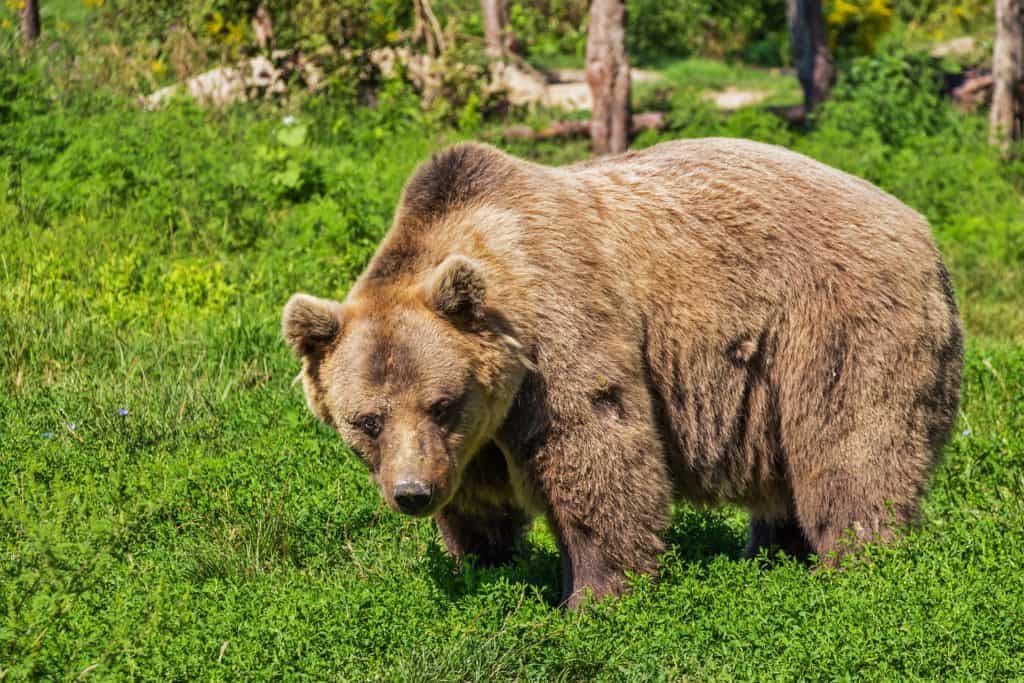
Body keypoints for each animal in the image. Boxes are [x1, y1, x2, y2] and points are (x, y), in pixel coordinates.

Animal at [280, 139, 958, 610]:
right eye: (366, 420)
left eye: (441, 403)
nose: (413, 493)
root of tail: (922, 227)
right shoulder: (475, 439)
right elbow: (478, 502)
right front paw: (484, 565)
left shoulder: (560, 336)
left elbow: (597, 455)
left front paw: (593, 596)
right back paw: (770, 554)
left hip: (836, 323)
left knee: (851, 448)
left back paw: (857, 564)